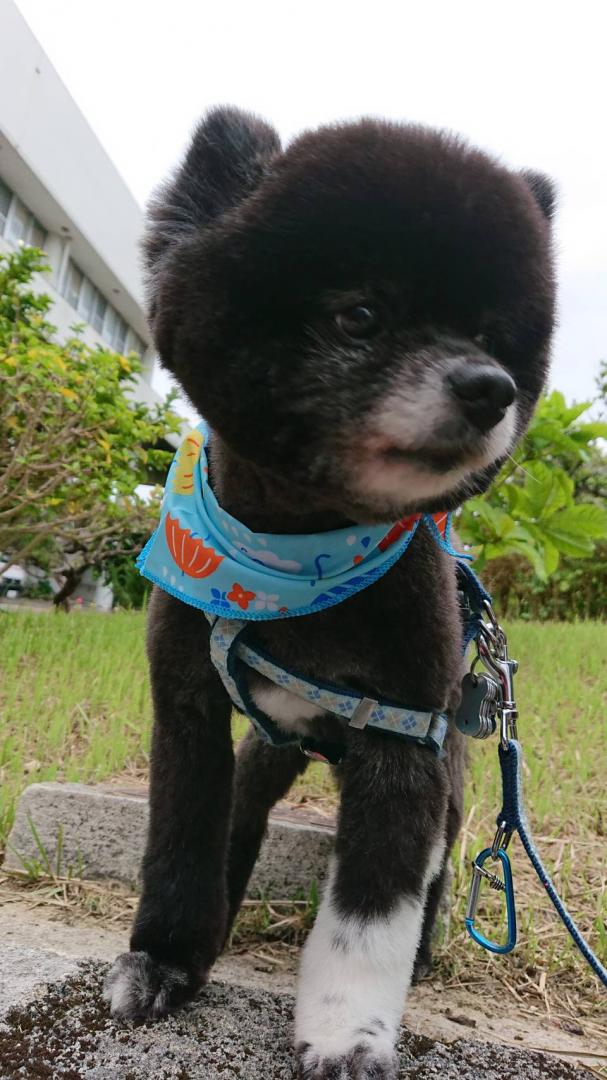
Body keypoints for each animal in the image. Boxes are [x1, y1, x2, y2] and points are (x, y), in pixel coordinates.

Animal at [102, 111, 552, 1080]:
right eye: (361, 316)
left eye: (493, 337)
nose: (488, 387)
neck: (294, 552)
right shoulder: (187, 706)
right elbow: (181, 840)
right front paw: (164, 960)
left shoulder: (403, 738)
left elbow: (371, 912)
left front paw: (347, 1033)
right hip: (267, 753)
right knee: (240, 815)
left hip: (450, 781)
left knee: (435, 871)